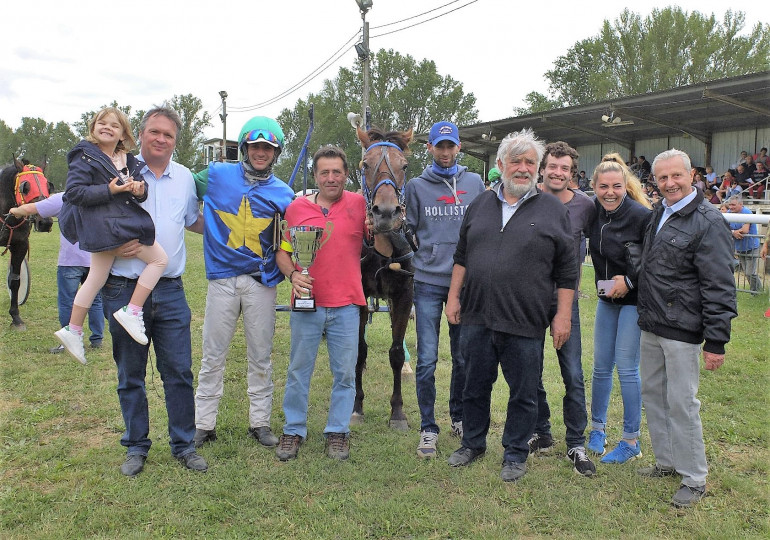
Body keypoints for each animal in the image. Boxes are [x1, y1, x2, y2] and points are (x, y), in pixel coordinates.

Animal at [0, 158, 53, 330]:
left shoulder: (20, 245)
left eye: (48, 185)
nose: (45, 222)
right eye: (25, 187)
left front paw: (16, 317)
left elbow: (14, 280)